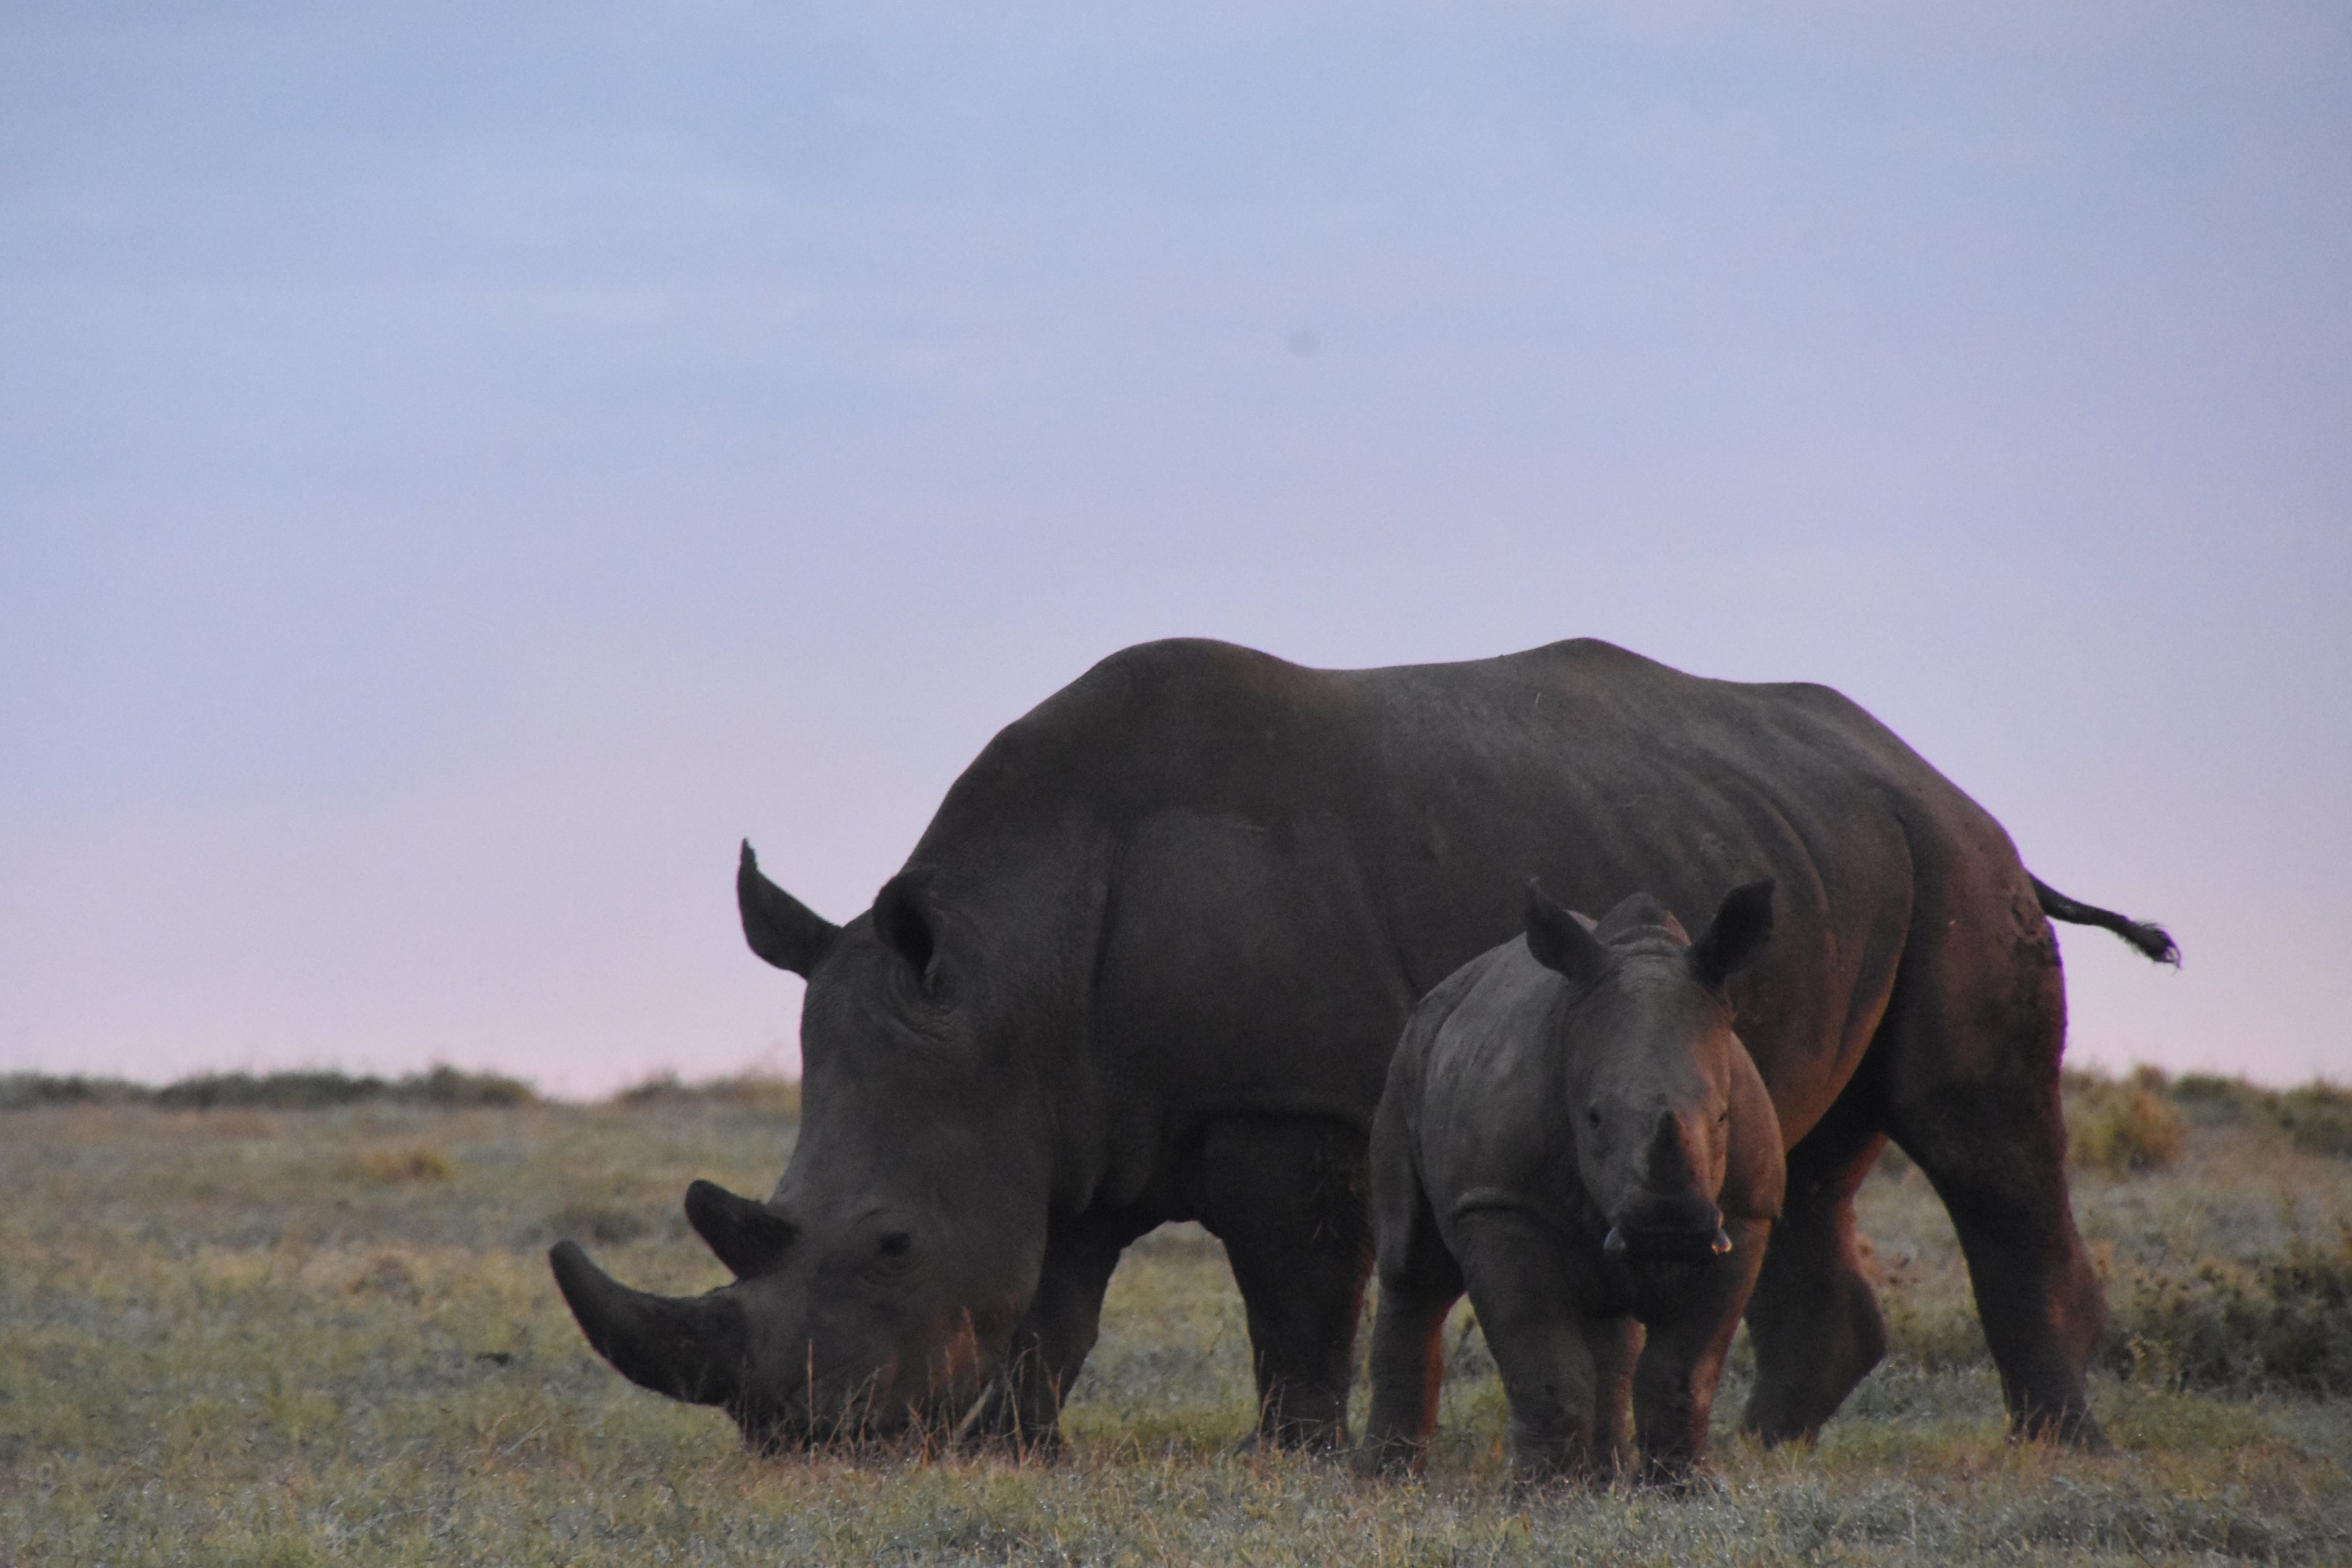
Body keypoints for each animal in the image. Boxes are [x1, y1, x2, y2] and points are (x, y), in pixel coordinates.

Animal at [1362, 880, 1785, 1483]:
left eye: (1724, 1118)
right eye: (1593, 1118)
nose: (1668, 1229)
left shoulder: (1747, 1214)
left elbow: (1683, 1374)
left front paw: (1683, 1490)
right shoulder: (1500, 1204)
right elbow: (1546, 1364)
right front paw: (1543, 1493)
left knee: (1611, 1328)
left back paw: (1607, 1479)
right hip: (1408, 1062)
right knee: (1413, 1272)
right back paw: (1385, 1481)